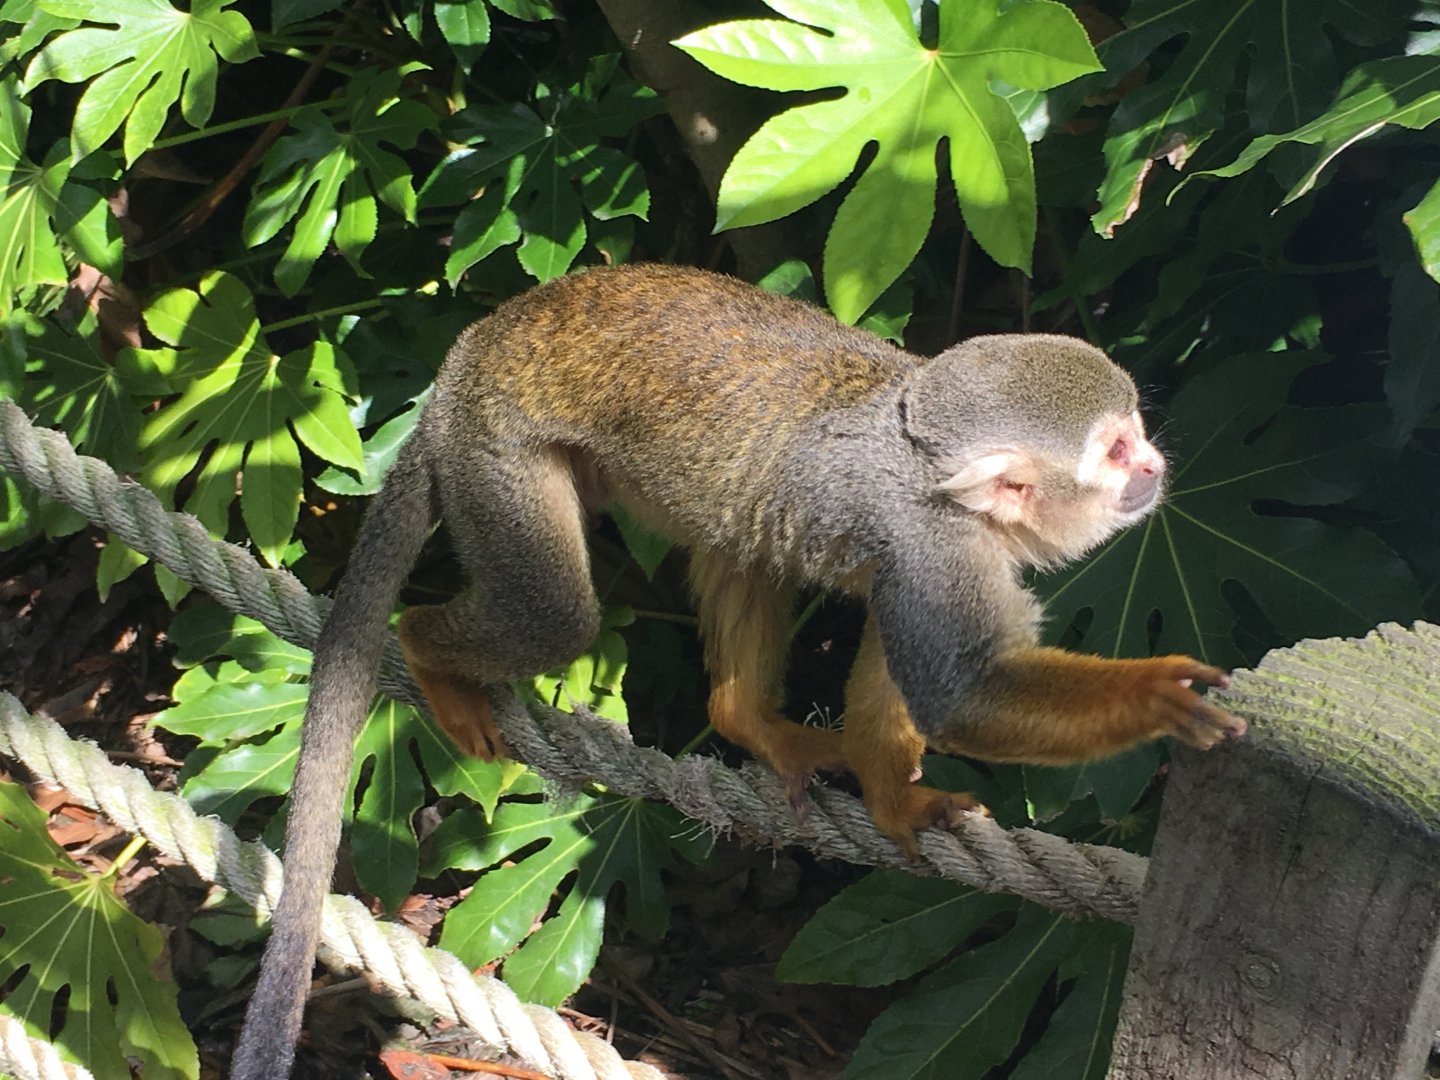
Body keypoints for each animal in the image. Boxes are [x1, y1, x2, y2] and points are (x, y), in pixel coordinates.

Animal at [229, 263, 1245, 1078]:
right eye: (1116, 450)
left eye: (1136, 434)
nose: (1154, 465)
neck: (936, 473)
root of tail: (461, 366)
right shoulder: (933, 542)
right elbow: (960, 695)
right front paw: (1156, 696)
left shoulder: (927, 552)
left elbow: (899, 654)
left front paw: (890, 793)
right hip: (495, 454)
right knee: (557, 616)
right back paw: (426, 648)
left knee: (742, 541)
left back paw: (742, 718)